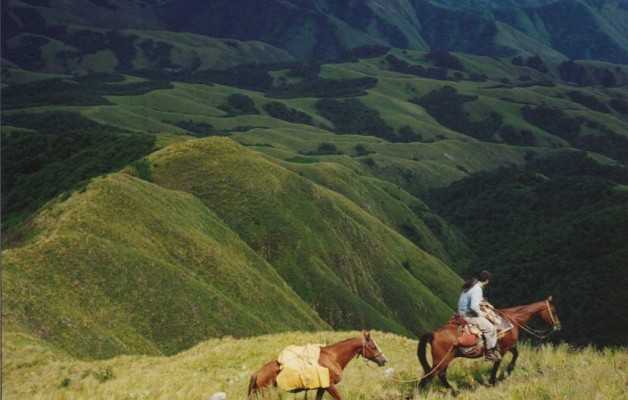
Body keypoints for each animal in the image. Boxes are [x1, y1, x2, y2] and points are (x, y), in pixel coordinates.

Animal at [247, 332, 386, 400]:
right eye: (373, 346)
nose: (383, 360)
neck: (332, 358)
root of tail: (258, 373)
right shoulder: (330, 386)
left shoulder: (322, 388)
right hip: (265, 393)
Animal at [418, 296, 560, 390]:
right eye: (553, 311)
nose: (558, 326)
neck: (512, 319)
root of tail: (434, 334)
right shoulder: (503, 348)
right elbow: (498, 362)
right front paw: (494, 380)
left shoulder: (507, 346)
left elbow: (516, 353)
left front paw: (506, 372)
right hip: (442, 359)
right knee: (430, 376)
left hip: (446, 359)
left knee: (441, 375)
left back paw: (454, 392)